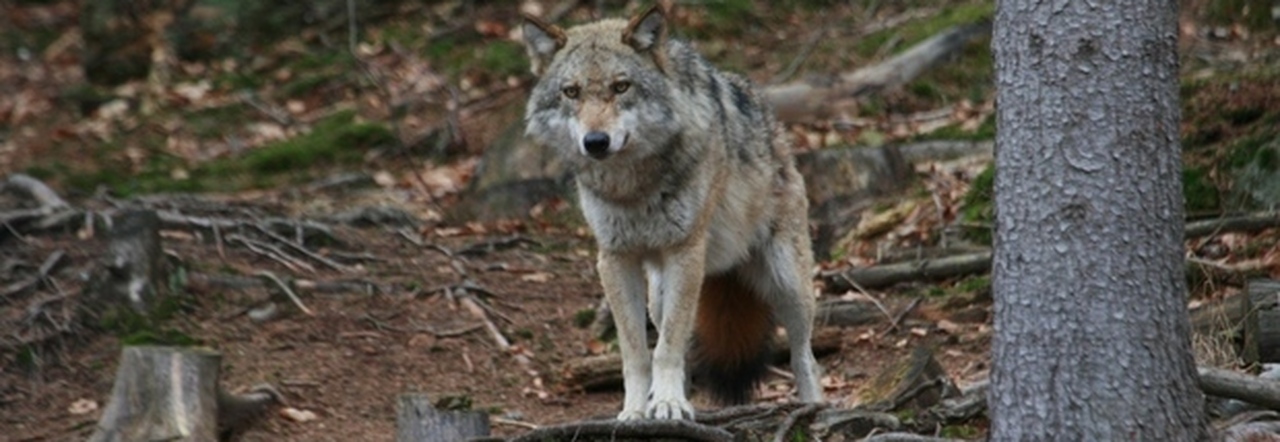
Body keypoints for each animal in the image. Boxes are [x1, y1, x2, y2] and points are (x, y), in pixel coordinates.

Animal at [524, 5, 824, 417]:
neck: (631, 187)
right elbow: (637, 353)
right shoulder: (614, 259)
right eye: (571, 92)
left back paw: (815, 407)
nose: (596, 142)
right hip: (659, 292)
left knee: (803, 357)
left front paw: (667, 404)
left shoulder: (685, 250)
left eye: (621, 87)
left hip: (788, 284)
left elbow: (666, 347)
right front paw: (636, 411)